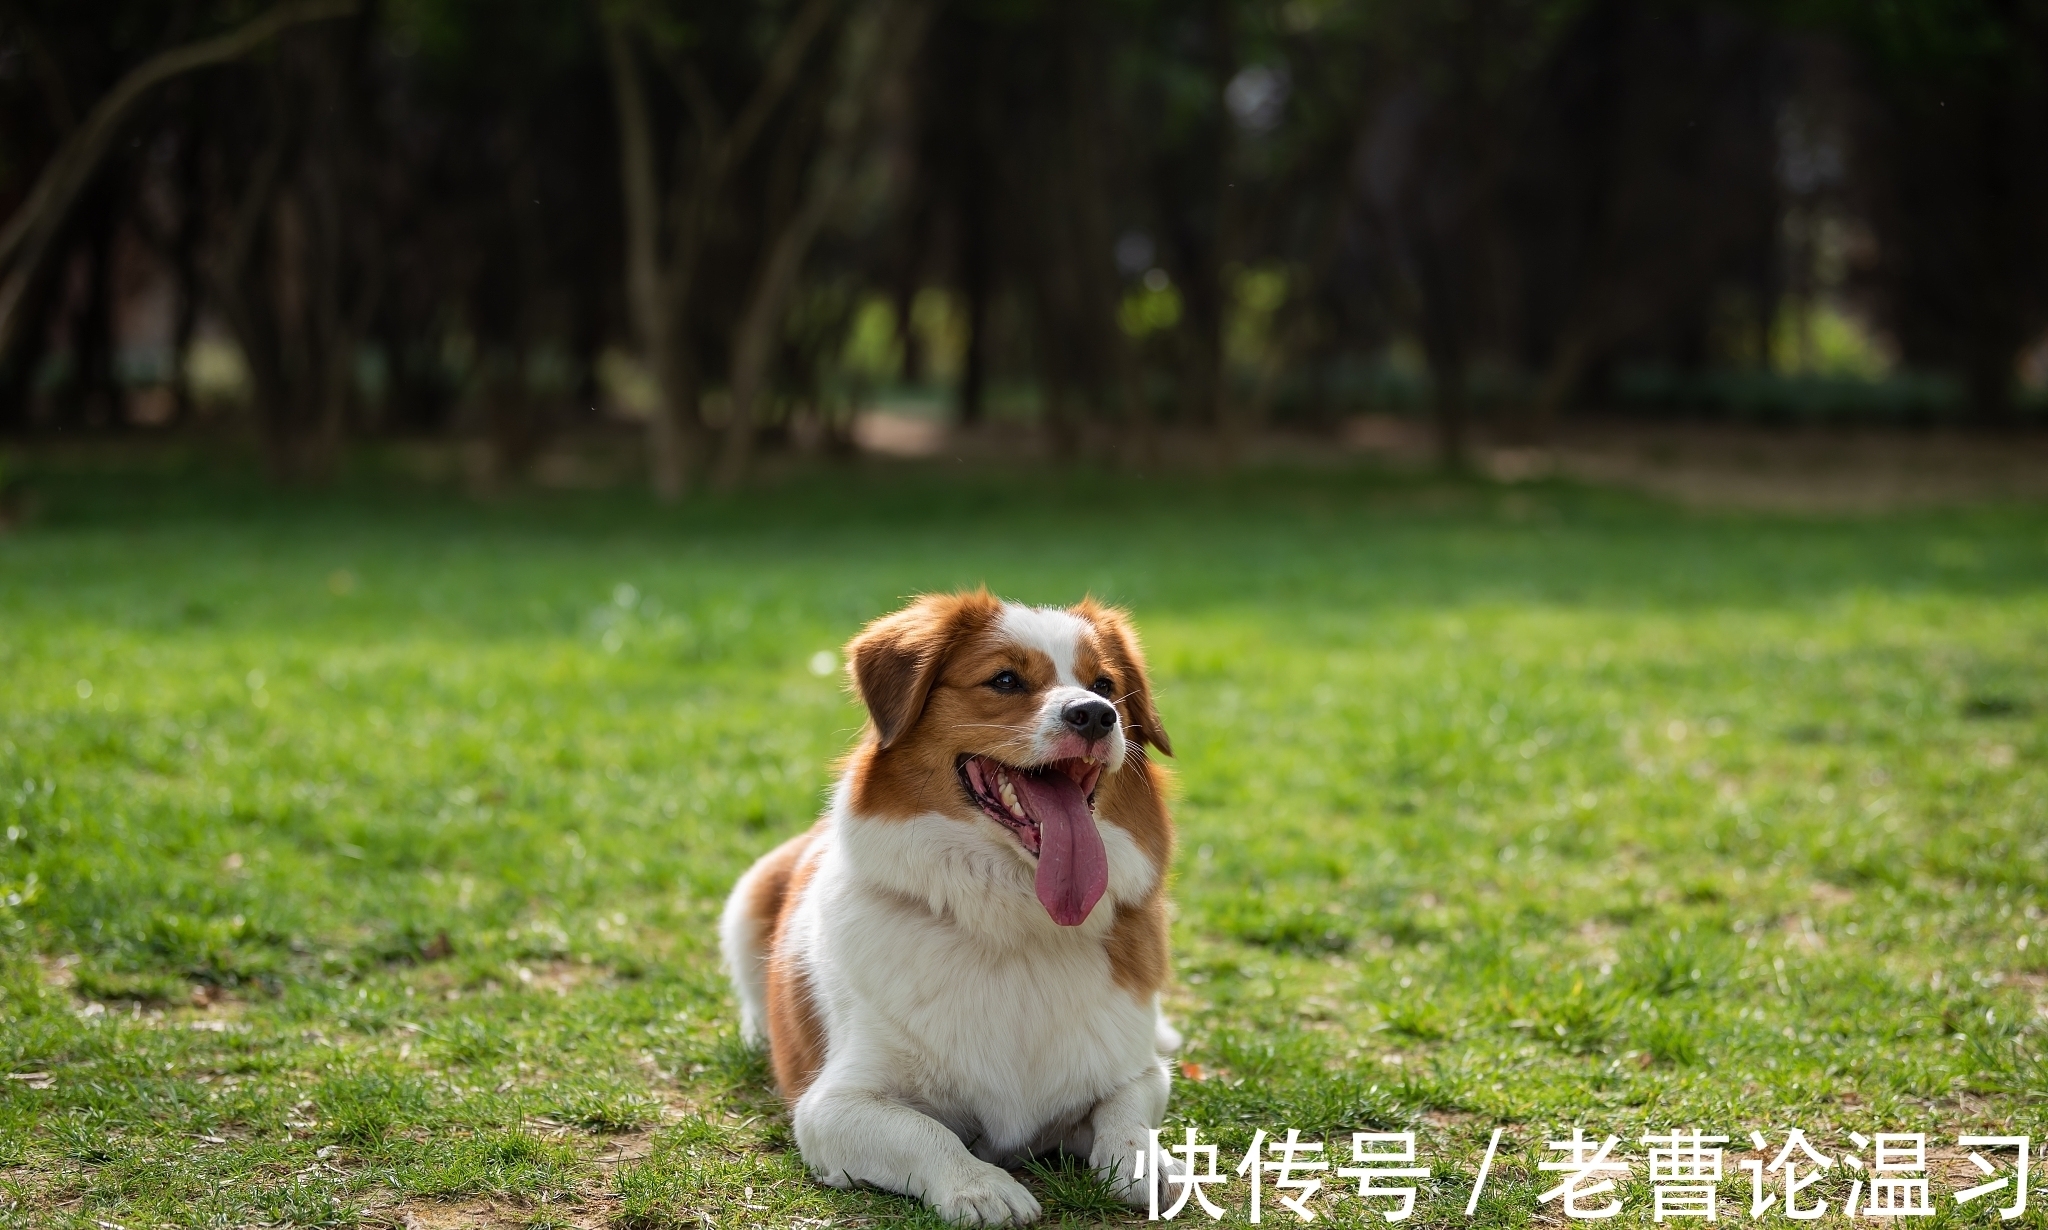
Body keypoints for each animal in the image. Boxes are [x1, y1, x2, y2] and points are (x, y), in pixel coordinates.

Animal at [720, 589, 1179, 1219]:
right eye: (1006, 680)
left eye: (1106, 685)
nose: (1095, 714)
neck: (1014, 922)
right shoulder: (830, 1107)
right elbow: (924, 1132)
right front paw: (980, 1185)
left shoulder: (1135, 1071)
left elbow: (1129, 1113)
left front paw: (1147, 1162)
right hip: (748, 895)